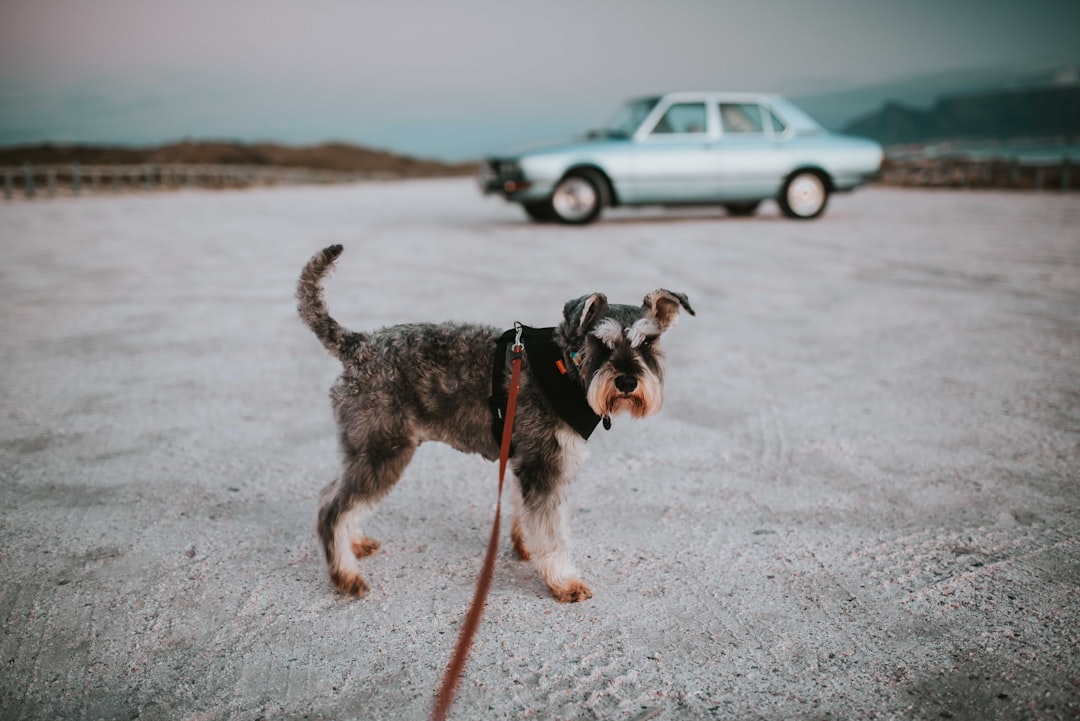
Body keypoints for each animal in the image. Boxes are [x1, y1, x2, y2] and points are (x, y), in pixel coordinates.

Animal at [300, 245, 695, 600]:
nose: (627, 381)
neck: (567, 366)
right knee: (333, 510)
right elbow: (553, 531)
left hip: (365, 449)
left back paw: (354, 543)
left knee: (331, 494)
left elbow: (528, 514)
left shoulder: (526, 460)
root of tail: (358, 346)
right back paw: (346, 576)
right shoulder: (544, 465)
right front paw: (563, 581)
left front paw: (525, 548)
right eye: (600, 342)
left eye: (649, 343)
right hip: (383, 452)